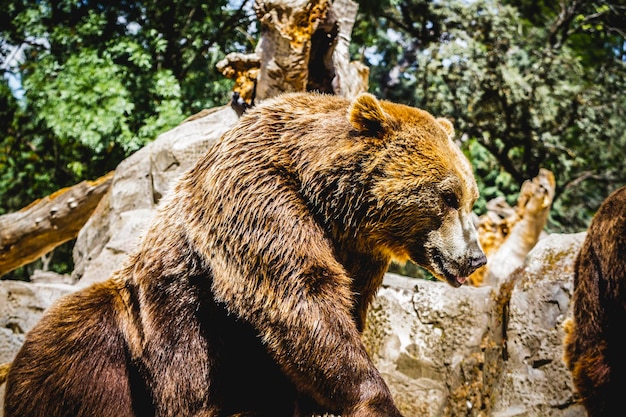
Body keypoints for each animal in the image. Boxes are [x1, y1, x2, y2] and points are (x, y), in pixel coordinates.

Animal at [2, 92, 486, 416]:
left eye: (470, 196)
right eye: (448, 195)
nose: (476, 258)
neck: (327, 199)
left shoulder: (358, 251)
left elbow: (340, 311)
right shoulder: (257, 194)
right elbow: (300, 296)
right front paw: (375, 400)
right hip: (127, 341)